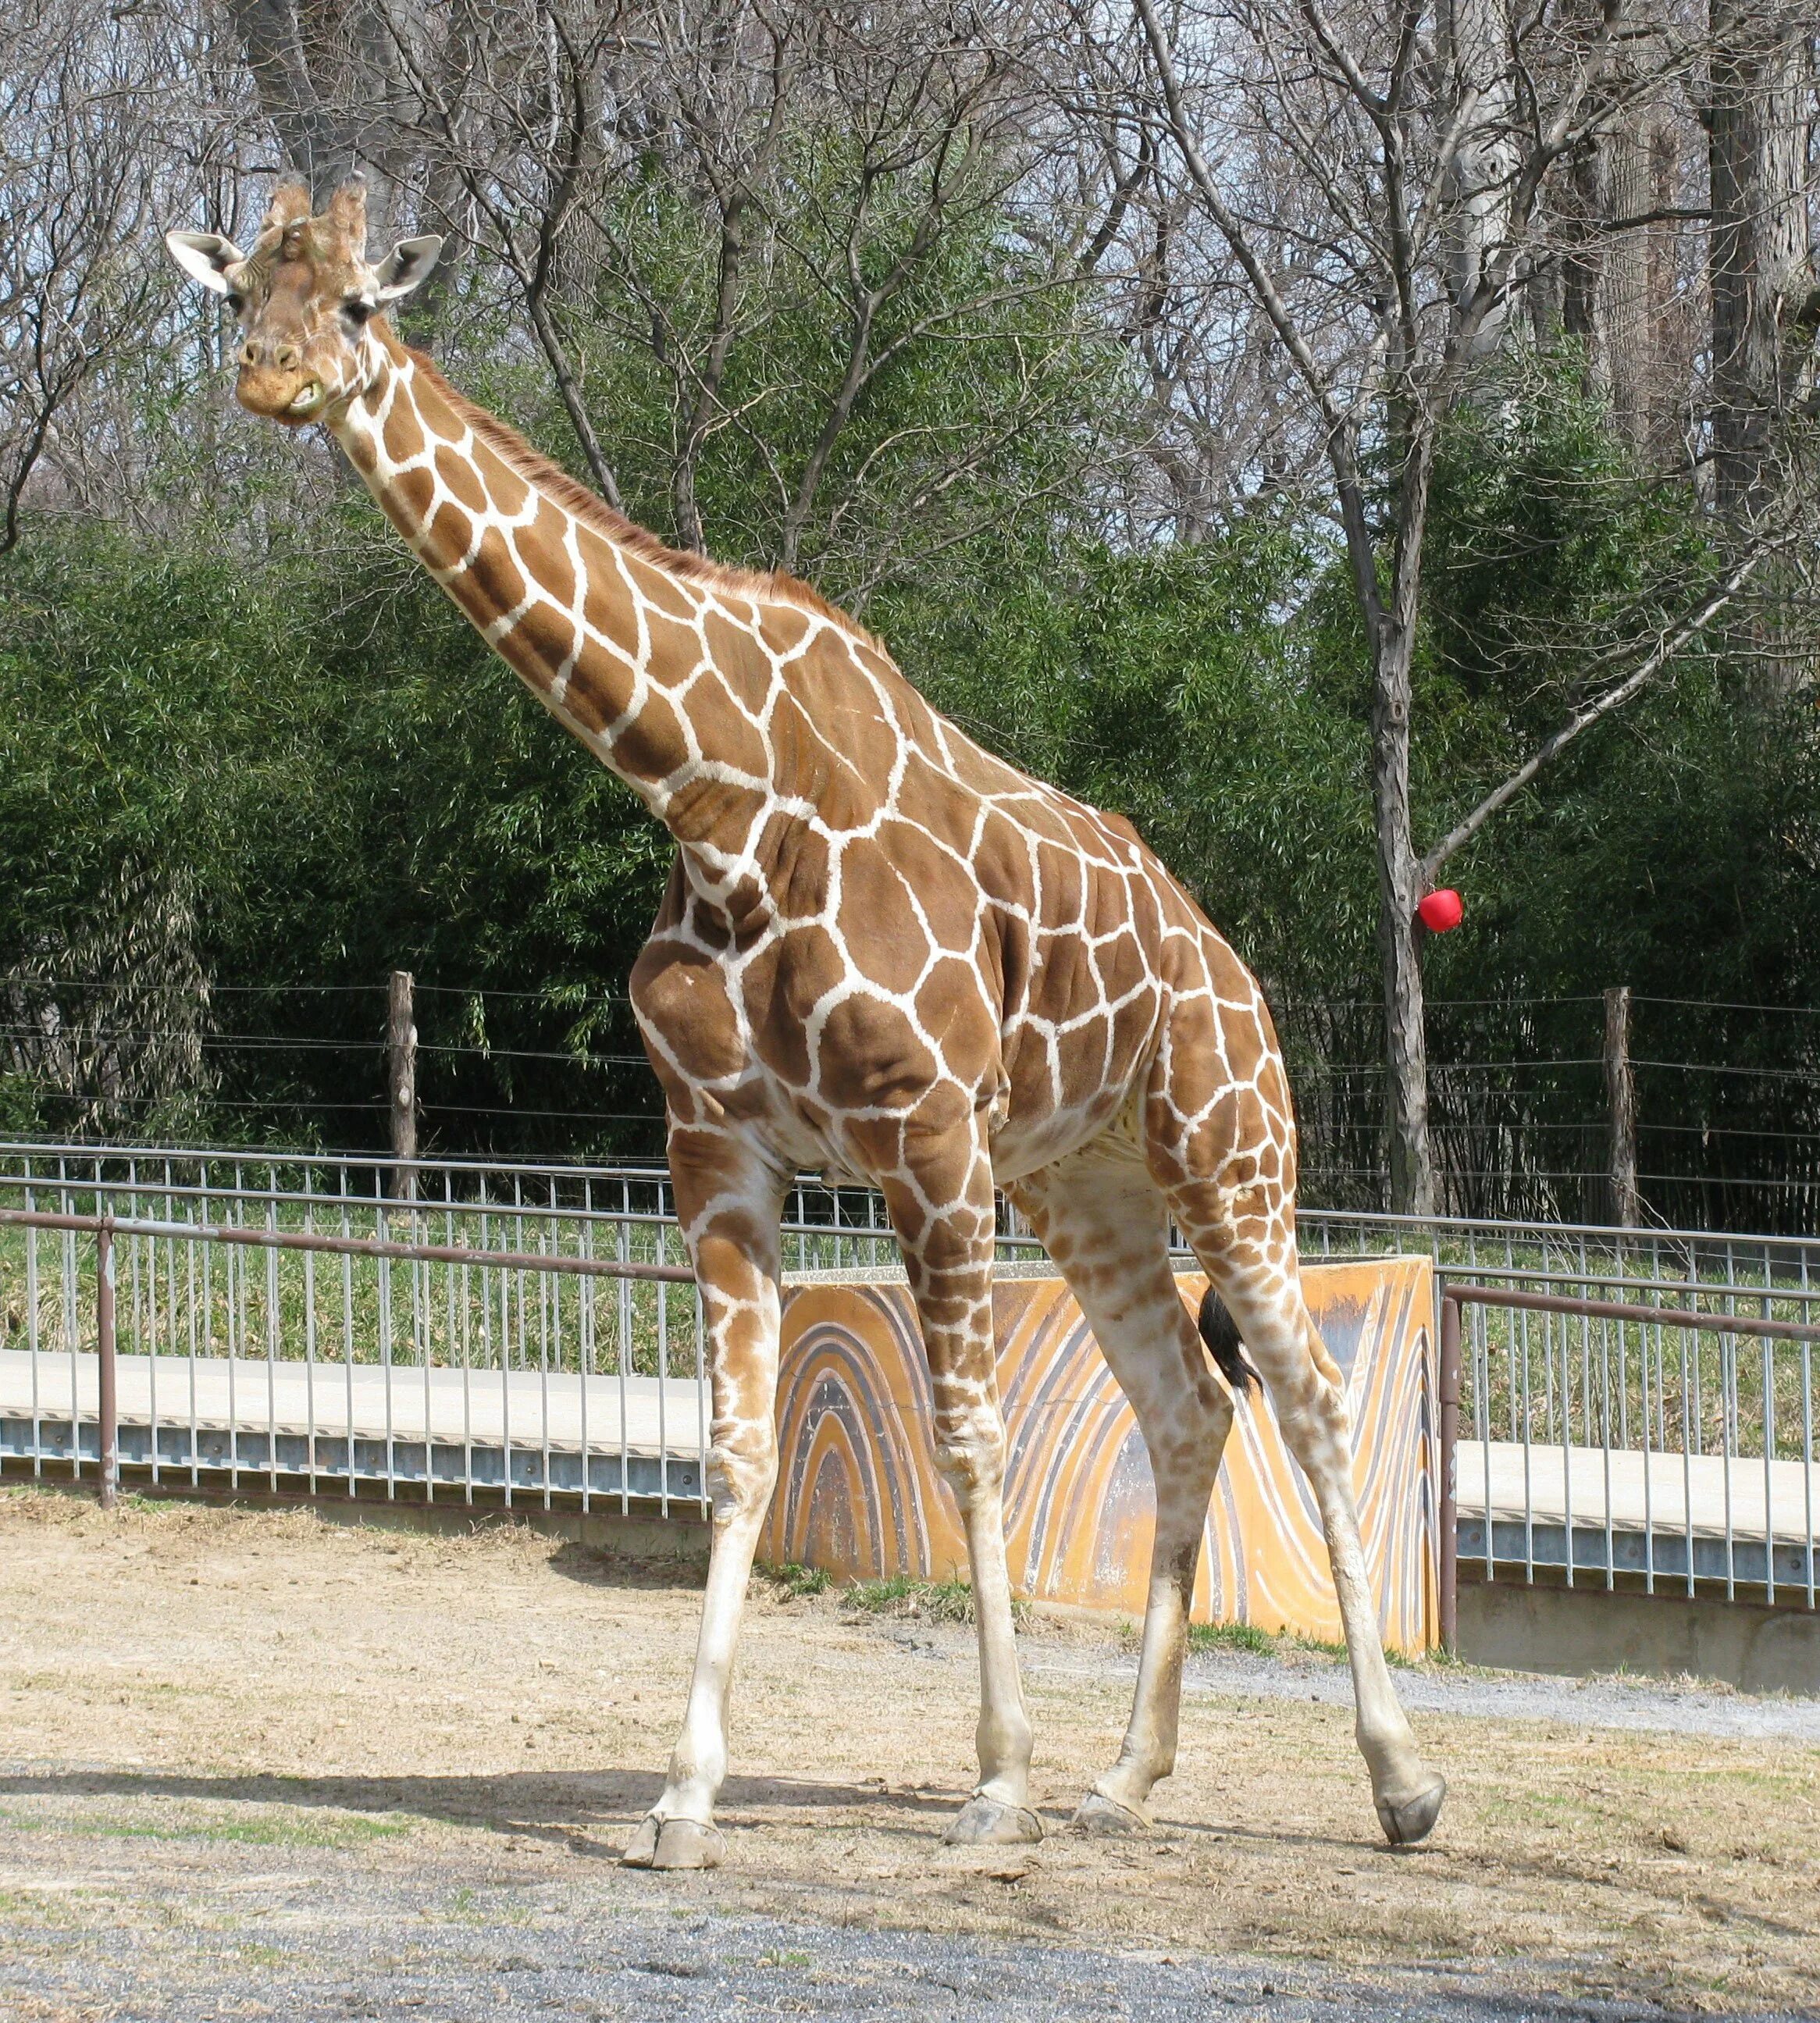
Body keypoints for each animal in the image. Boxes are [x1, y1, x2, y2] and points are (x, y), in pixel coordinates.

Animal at [170, 182, 1448, 1869]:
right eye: (240, 290)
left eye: (364, 302)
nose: (273, 377)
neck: (715, 793)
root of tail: (1232, 965)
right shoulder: (715, 1143)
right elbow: (737, 1451)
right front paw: (682, 1795)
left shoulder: (924, 1130)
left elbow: (968, 1437)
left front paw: (991, 1783)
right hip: (1087, 1185)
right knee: (1185, 1403)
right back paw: (1125, 1773)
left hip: (1230, 1150)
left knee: (1310, 1395)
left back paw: (1399, 1780)